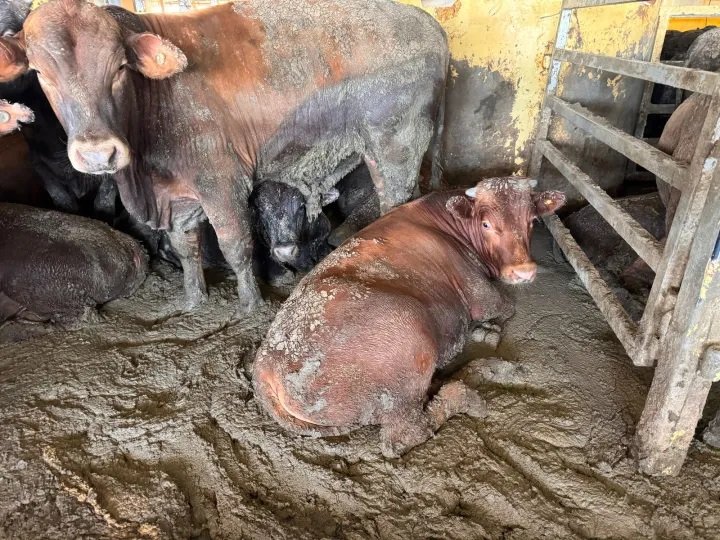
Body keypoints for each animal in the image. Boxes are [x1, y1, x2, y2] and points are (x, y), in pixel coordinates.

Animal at [250, 177, 564, 456]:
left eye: (532, 221)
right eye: (486, 224)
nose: (523, 271)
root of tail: (266, 366)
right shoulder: (481, 295)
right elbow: (507, 307)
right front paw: (488, 330)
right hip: (410, 340)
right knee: (406, 433)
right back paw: (469, 391)